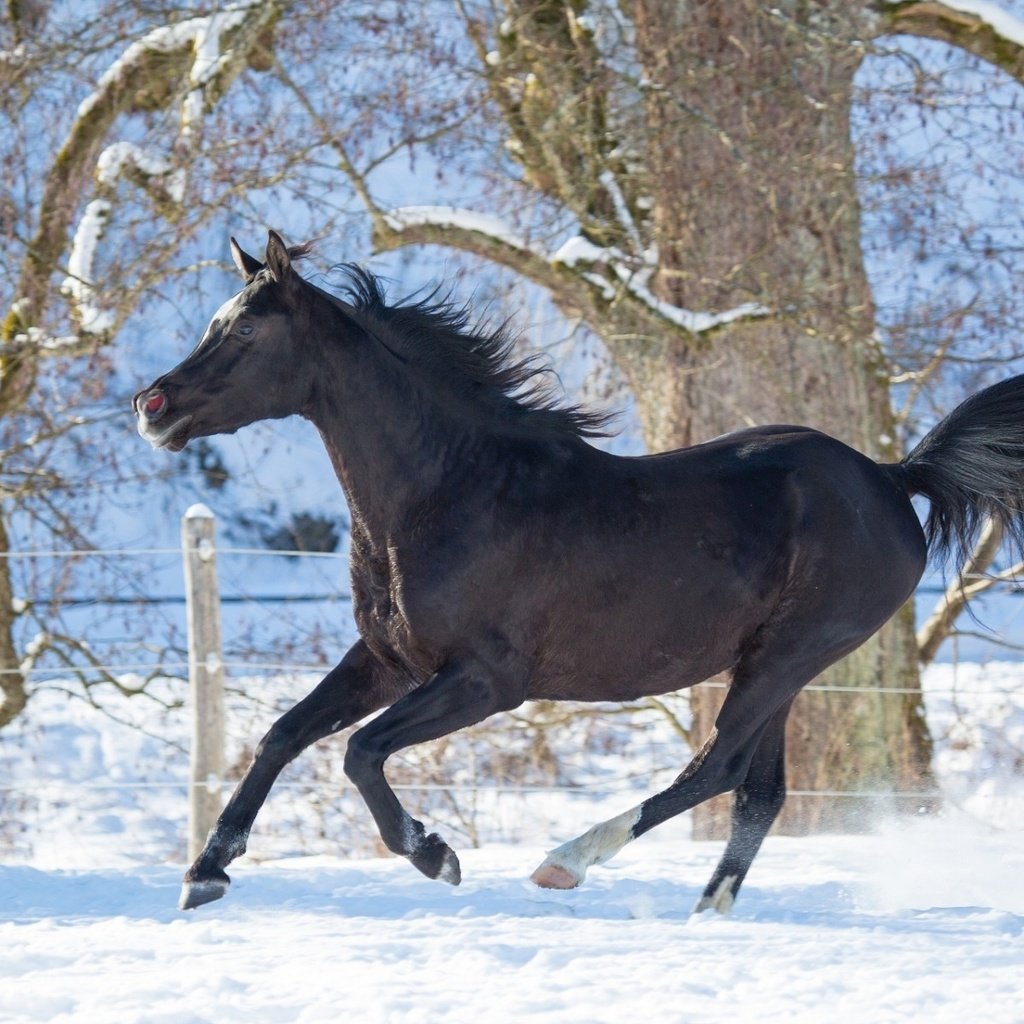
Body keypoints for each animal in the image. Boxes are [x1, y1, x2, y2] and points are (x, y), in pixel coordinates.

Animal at [134, 232, 1024, 913]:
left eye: (245, 334)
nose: (152, 406)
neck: (451, 491)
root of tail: (893, 478)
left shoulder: (487, 680)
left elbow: (358, 752)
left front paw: (435, 854)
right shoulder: (388, 660)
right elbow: (283, 734)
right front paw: (204, 874)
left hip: (790, 655)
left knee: (718, 767)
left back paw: (567, 861)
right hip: (776, 665)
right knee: (757, 792)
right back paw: (706, 910)